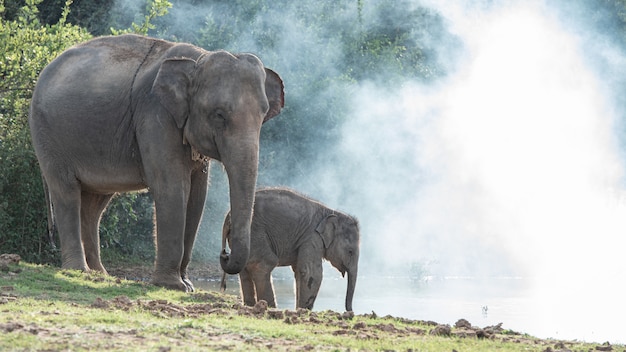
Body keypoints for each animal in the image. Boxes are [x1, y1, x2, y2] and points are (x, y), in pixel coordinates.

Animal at [28, 34, 284, 292]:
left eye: (263, 115)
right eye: (219, 115)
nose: (224, 254)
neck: (198, 60)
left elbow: (197, 196)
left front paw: (187, 284)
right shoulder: (155, 115)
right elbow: (173, 188)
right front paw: (173, 285)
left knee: (94, 204)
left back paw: (99, 274)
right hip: (48, 136)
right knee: (67, 192)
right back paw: (78, 271)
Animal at [219, 188, 358, 312]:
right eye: (350, 251)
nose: (350, 311)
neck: (331, 212)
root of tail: (227, 217)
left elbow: (299, 271)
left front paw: (299, 309)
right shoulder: (312, 238)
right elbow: (311, 272)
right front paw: (304, 310)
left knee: (244, 268)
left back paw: (250, 306)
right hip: (256, 234)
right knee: (263, 264)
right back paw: (270, 307)